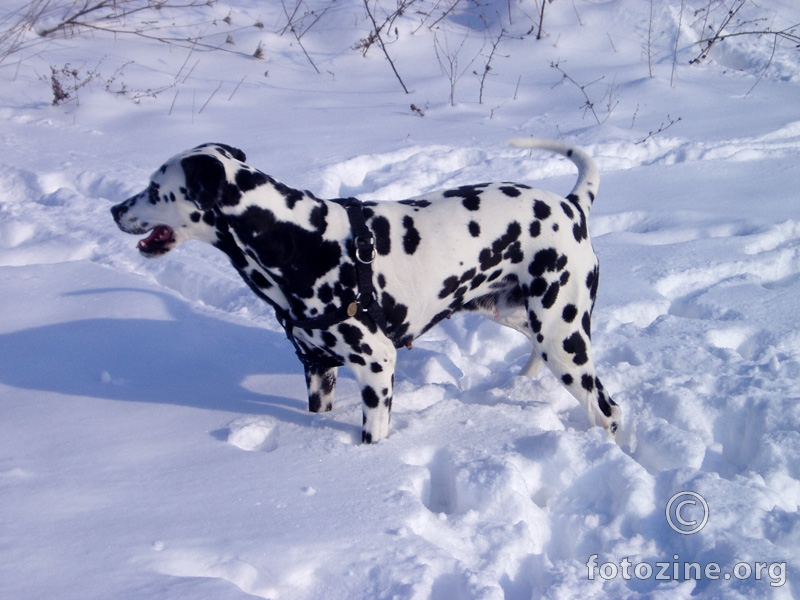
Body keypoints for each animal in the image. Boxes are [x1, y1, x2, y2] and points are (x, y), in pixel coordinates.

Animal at [111, 139, 620, 440]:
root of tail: (572, 206)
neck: (300, 238)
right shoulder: (317, 370)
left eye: (155, 189)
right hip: (527, 320)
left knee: (608, 410)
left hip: (564, 342)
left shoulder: (377, 366)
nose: (115, 210)